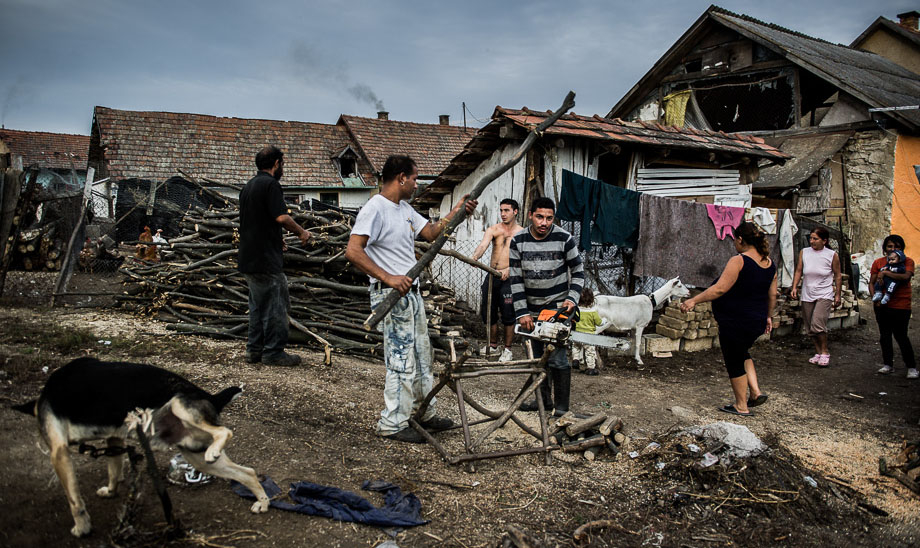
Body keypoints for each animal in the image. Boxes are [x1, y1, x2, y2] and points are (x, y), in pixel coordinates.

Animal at [13, 358, 270, 536]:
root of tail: (211, 396)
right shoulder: (114, 440)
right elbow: (114, 470)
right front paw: (110, 491)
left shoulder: (58, 452)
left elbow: (74, 501)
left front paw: (82, 528)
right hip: (195, 455)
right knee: (247, 472)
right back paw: (262, 503)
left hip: (180, 406)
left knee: (226, 432)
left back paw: (217, 452)